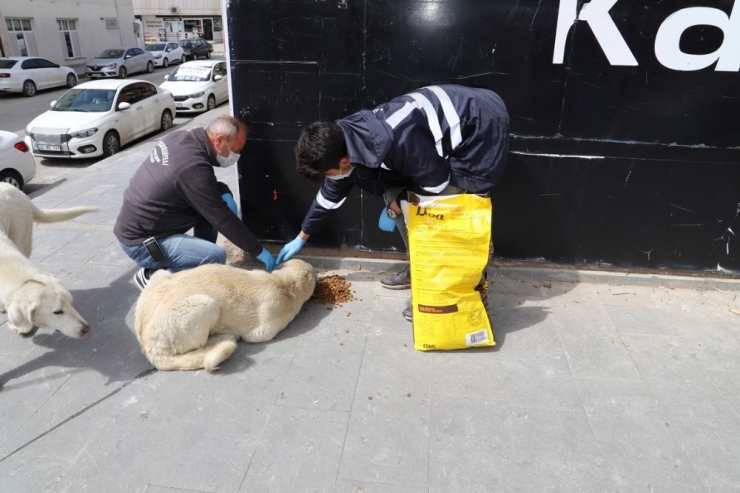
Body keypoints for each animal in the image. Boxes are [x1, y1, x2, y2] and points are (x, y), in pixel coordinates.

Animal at [134, 260, 316, 370]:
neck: (286, 284)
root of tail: (147, 346)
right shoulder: (262, 331)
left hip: (161, 273)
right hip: (206, 304)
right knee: (202, 345)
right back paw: (223, 337)